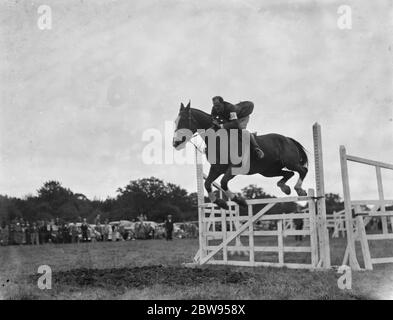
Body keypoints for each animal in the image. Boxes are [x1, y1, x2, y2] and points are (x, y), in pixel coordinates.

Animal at [173, 100, 308, 210]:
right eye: (175, 121)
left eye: (183, 120)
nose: (175, 143)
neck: (218, 140)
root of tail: (288, 139)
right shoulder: (217, 168)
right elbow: (207, 184)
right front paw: (221, 203)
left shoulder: (236, 167)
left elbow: (223, 182)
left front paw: (239, 201)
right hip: (268, 171)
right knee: (289, 173)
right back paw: (285, 188)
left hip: (289, 162)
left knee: (303, 170)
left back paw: (299, 189)